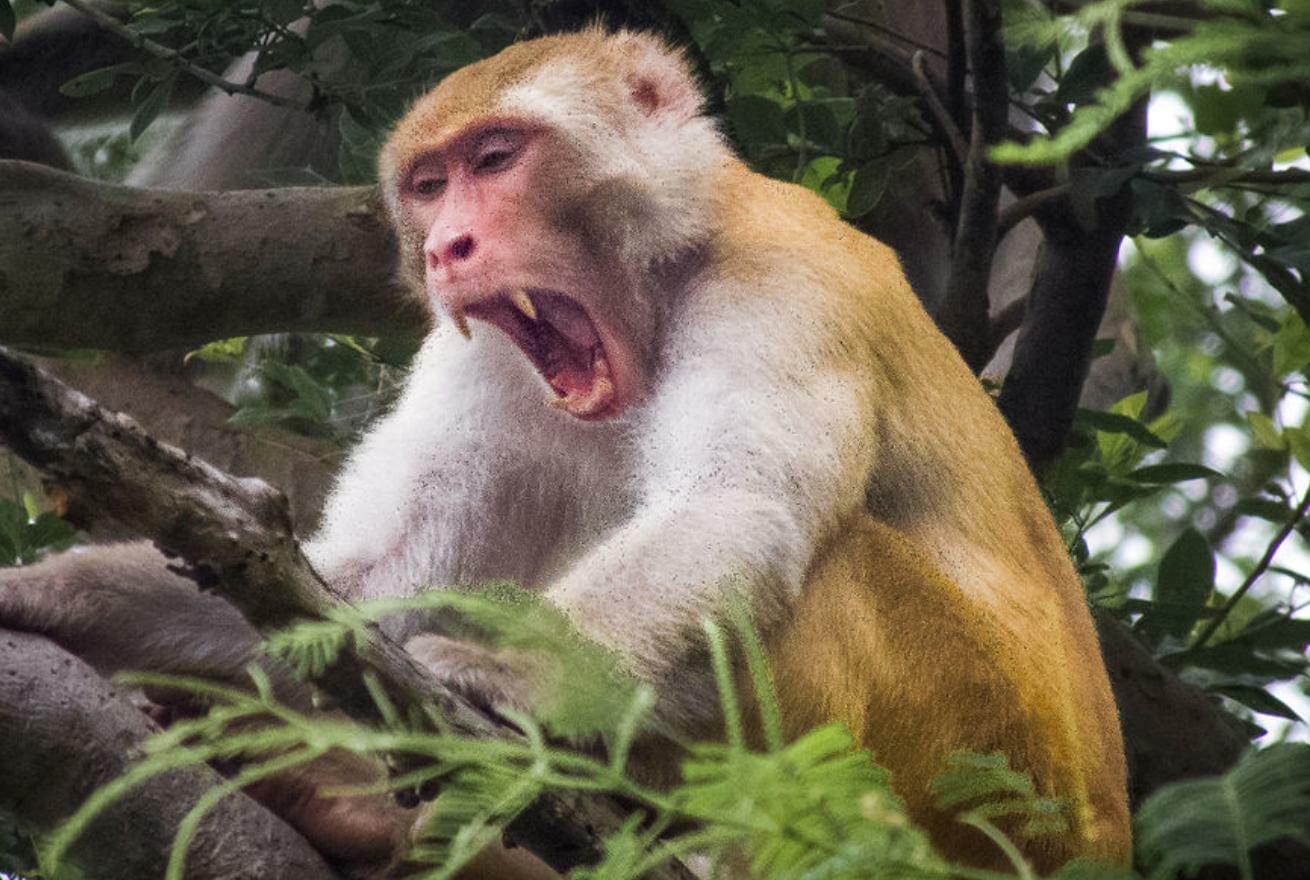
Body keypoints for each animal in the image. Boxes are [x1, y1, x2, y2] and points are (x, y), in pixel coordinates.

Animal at [0, 27, 1131, 876]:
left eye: (498, 159)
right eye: (430, 184)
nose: (446, 246)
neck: (663, 275)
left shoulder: (782, 278)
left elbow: (732, 509)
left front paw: (510, 680)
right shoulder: (484, 361)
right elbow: (371, 586)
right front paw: (58, 597)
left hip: (990, 776)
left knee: (833, 574)